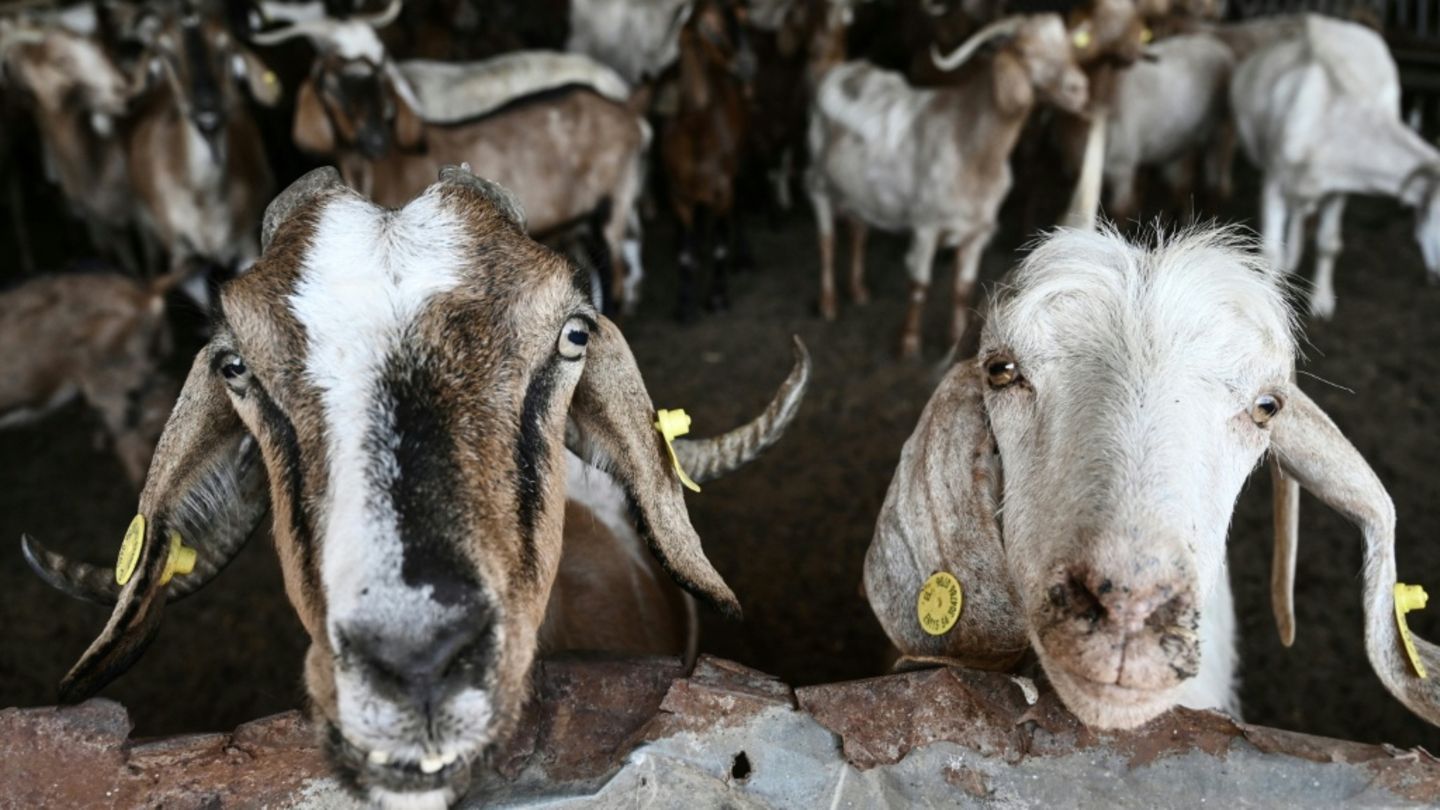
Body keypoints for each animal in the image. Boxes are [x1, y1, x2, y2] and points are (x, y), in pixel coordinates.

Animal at [805, 14, 1088, 357]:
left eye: (1068, 46)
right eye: (1023, 51)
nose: (1078, 89)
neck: (969, 144)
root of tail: (836, 70)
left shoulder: (978, 232)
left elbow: (962, 288)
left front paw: (954, 340)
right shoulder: (926, 225)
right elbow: (920, 285)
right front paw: (909, 342)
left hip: (858, 190)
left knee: (858, 228)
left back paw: (859, 290)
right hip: (819, 179)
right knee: (825, 237)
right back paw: (828, 303)